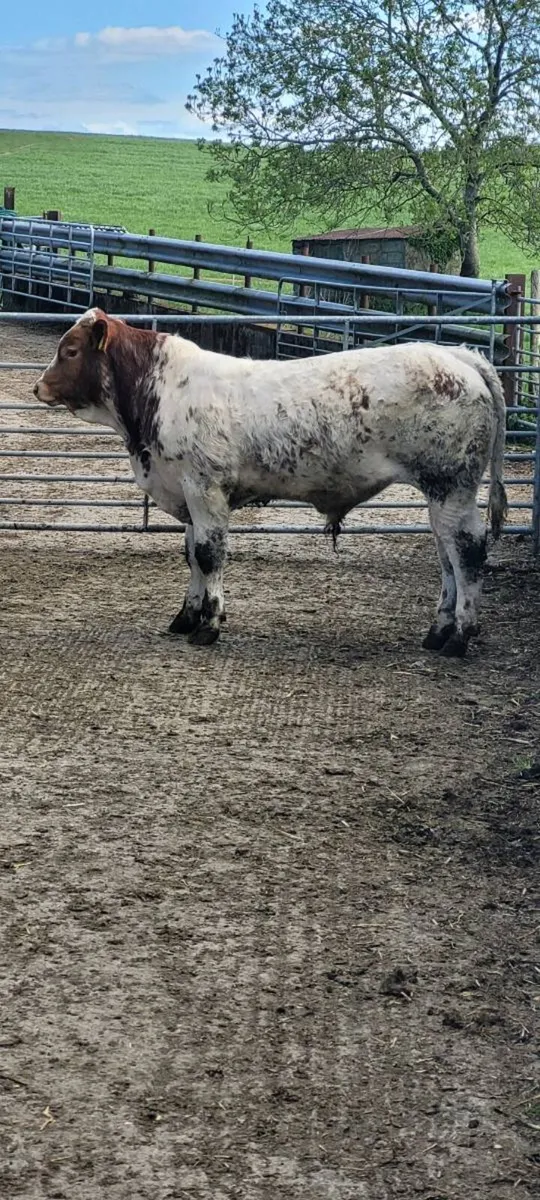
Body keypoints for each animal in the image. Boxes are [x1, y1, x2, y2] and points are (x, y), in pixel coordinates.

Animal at [33, 309, 507, 657]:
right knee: (446, 555)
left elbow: (209, 555)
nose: (38, 387)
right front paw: (186, 616)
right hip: (440, 494)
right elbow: (191, 555)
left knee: (466, 551)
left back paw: (460, 636)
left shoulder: (205, 487)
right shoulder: (187, 494)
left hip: (452, 485)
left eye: (70, 350)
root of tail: (459, 357)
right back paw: (438, 631)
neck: (157, 393)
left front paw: (208, 625)